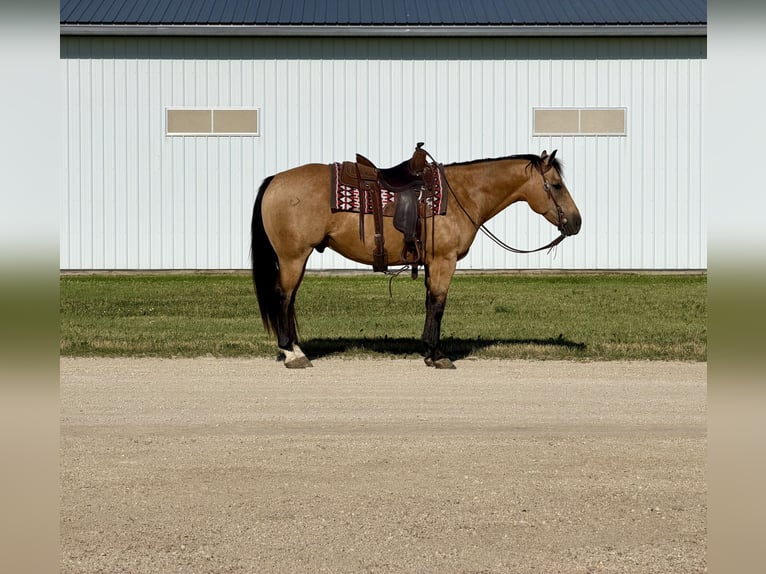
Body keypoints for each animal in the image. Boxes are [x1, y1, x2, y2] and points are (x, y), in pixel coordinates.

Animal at [250, 149, 582, 369]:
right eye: (556, 185)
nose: (576, 223)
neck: (462, 195)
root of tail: (275, 179)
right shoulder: (444, 261)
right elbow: (438, 305)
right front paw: (437, 355)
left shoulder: (432, 263)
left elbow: (429, 304)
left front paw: (428, 351)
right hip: (293, 257)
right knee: (283, 299)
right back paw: (292, 354)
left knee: (289, 301)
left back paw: (295, 349)